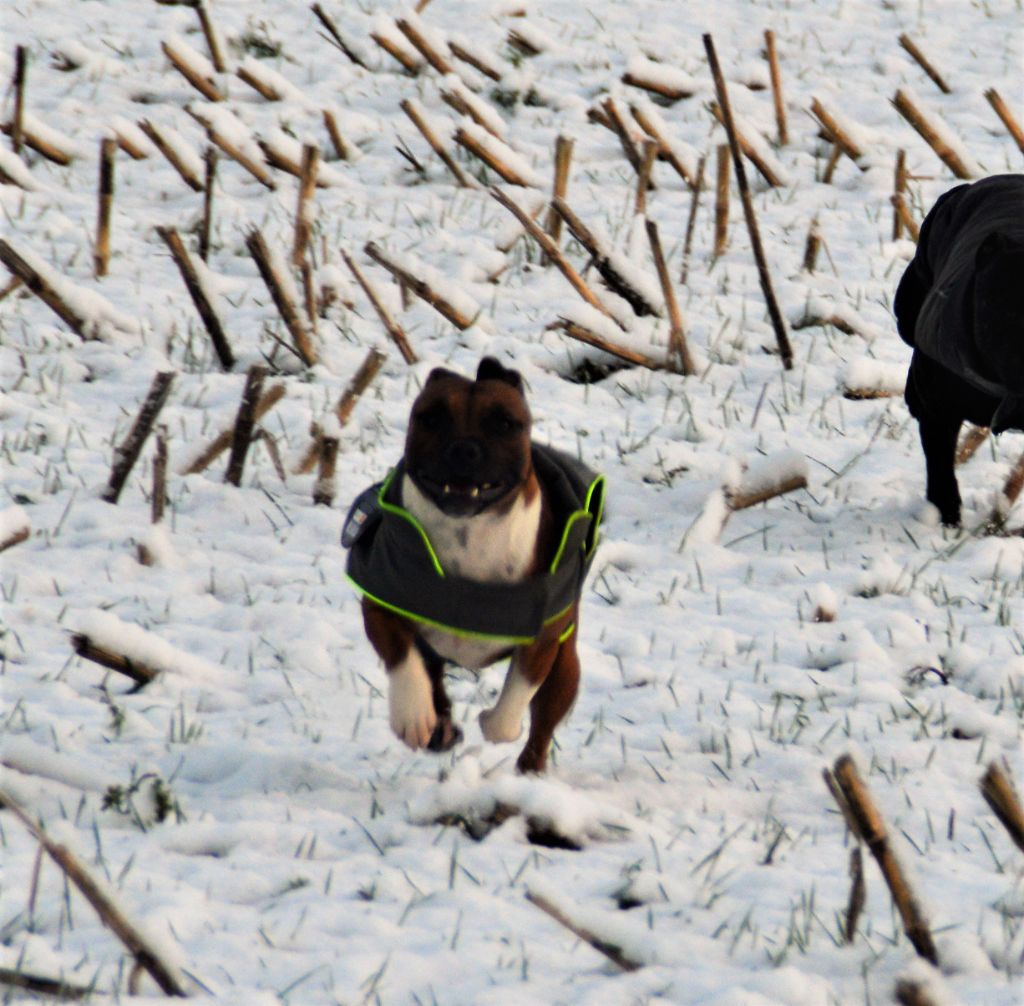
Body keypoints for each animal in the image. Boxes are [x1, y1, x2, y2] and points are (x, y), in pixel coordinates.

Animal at [344, 358, 602, 774]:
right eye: (431, 417)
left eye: (505, 423)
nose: (464, 449)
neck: (470, 534)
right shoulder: (381, 604)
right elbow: (401, 657)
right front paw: (413, 716)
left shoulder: (543, 640)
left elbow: (513, 703)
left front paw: (495, 722)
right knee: (431, 676)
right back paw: (439, 728)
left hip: (566, 667)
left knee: (543, 722)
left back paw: (529, 770)